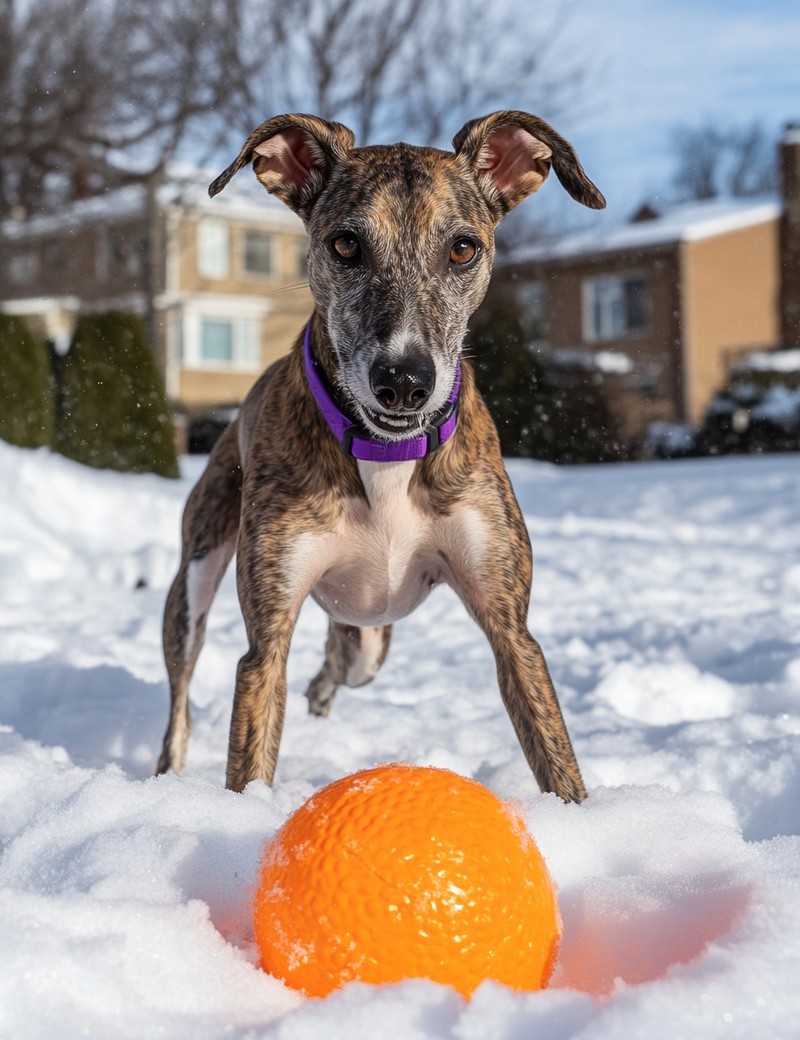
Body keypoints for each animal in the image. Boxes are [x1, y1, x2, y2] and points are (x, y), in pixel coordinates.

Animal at [156, 109, 603, 798]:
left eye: (463, 248)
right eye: (345, 245)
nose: (404, 380)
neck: (385, 453)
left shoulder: (510, 625)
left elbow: (555, 754)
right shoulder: (265, 644)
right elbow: (250, 749)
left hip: (370, 632)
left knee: (348, 656)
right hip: (197, 571)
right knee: (180, 693)